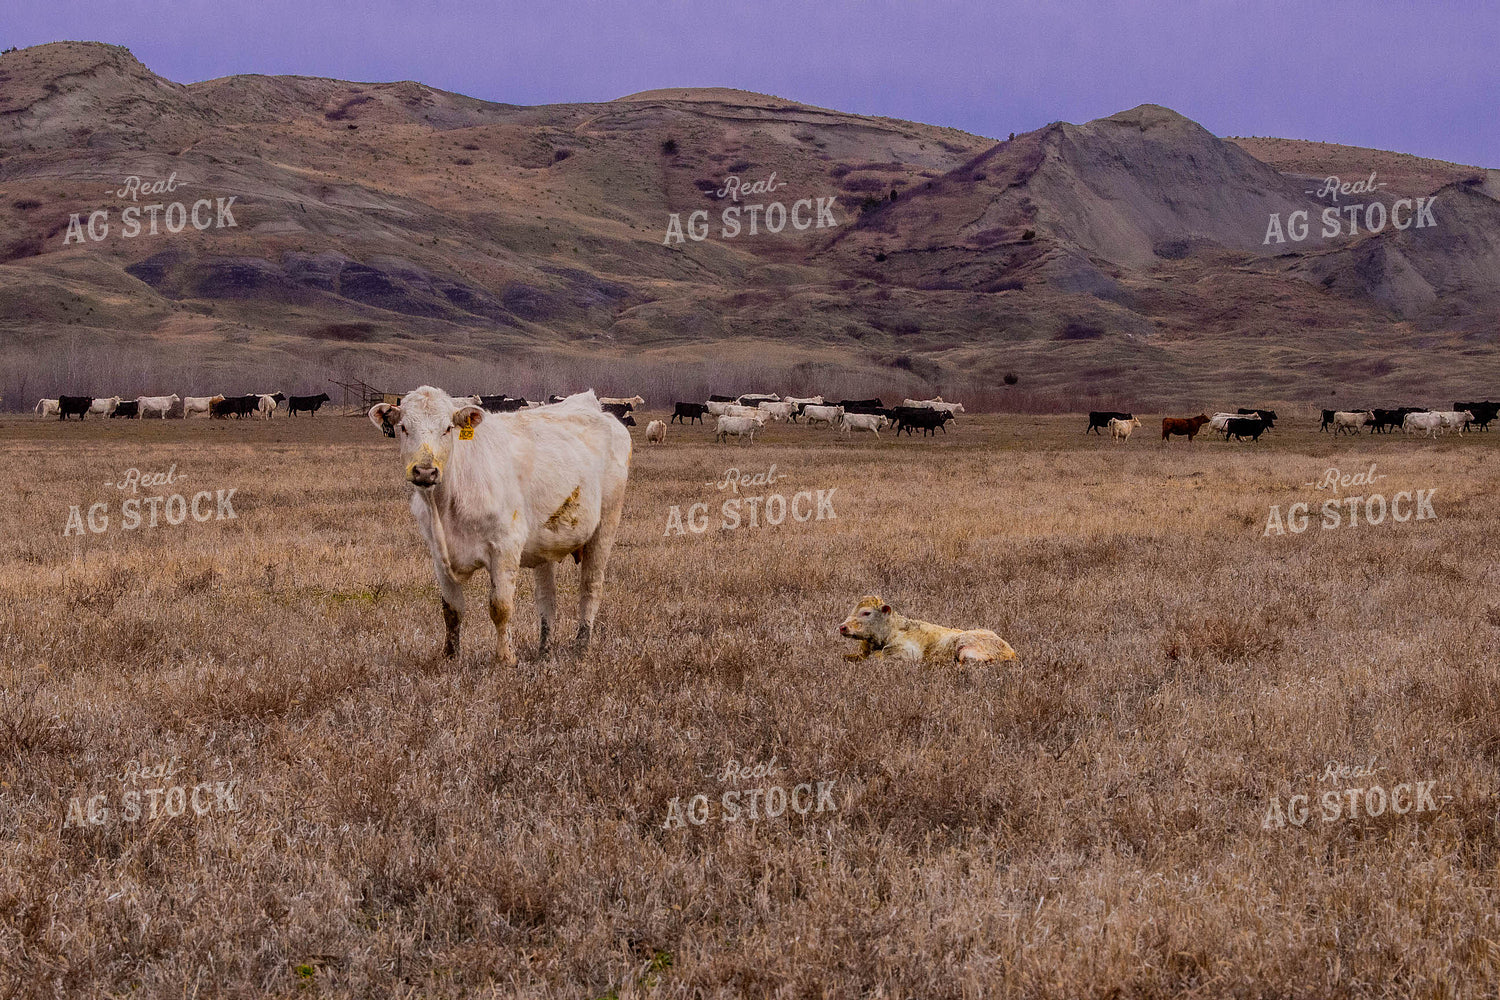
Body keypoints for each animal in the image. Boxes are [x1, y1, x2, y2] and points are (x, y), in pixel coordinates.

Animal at [368, 387, 630, 665]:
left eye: (448, 428)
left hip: (606, 525)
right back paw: (544, 650)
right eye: (404, 428)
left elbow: (501, 607)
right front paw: (450, 655)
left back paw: (582, 646)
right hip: (546, 543)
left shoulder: (505, 547)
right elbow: (451, 610)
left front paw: (505, 658)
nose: (426, 471)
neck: (446, 506)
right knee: (547, 597)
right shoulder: (438, 554)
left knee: (590, 587)